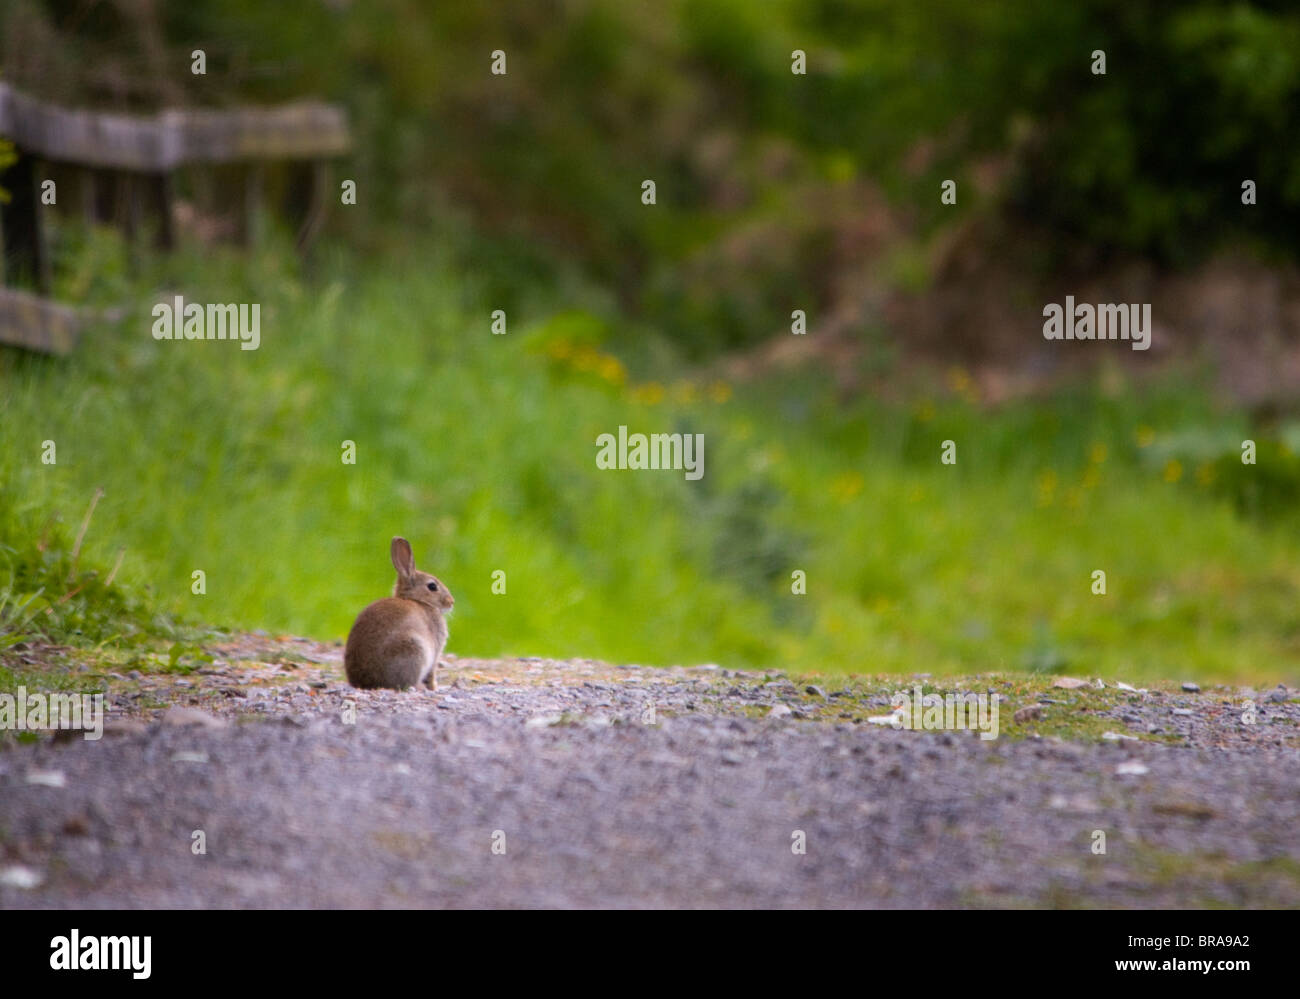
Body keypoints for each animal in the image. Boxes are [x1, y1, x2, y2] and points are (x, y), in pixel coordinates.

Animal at [343, 535, 454, 692]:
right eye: (432, 586)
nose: (451, 602)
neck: (419, 601)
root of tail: (368, 682)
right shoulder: (435, 651)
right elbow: (431, 673)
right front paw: (434, 688)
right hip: (413, 649)